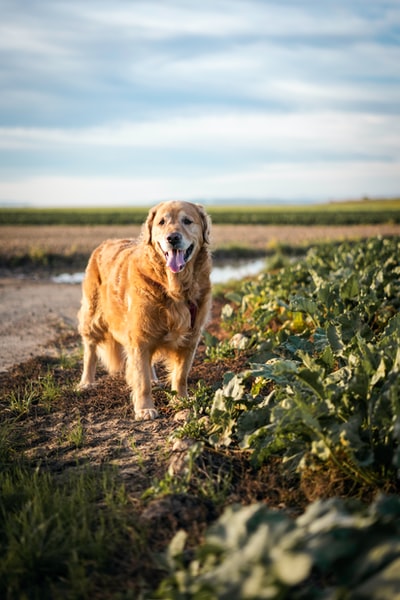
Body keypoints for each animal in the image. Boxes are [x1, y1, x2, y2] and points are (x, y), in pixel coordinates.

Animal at [76, 199, 211, 420]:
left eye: (187, 221)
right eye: (162, 222)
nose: (172, 238)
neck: (173, 287)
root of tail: (104, 244)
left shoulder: (190, 338)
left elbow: (181, 375)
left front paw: (181, 401)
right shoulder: (139, 337)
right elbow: (142, 380)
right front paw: (145, 408)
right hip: (93, 315)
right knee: (90, 350)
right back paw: (86, 382)